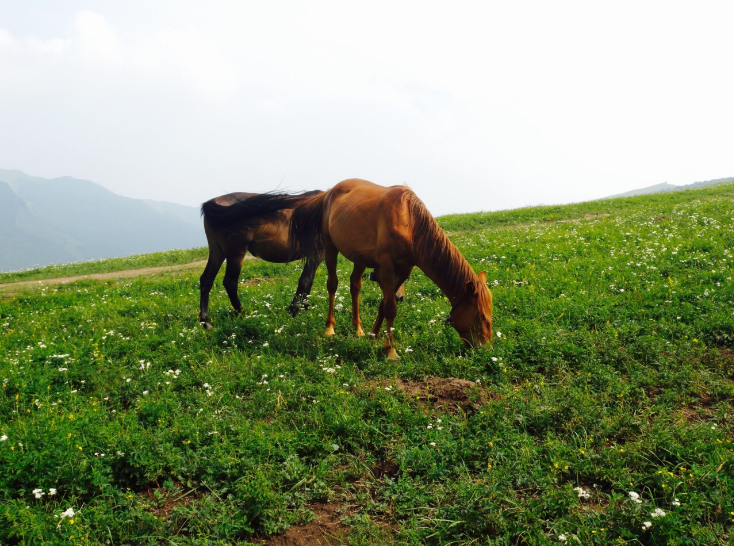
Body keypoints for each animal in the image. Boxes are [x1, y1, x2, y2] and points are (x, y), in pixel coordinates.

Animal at [292, 177, 494, 356]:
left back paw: (358, 329)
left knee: (355, 286)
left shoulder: (404, 270)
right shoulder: (387, 267)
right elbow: (390, 307)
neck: (410, 223)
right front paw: (391, 351)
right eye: (481, 316)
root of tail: (329, 192)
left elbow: (384, 304)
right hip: (330, 248)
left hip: (359, 258)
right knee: (332, 284)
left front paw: (373, 336)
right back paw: (330, 328)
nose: (485, 349)